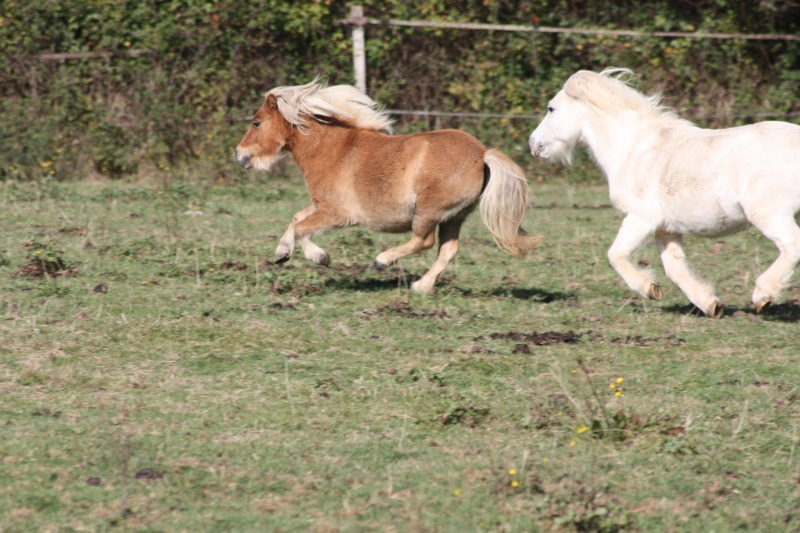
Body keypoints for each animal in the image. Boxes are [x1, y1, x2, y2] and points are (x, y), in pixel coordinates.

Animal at [234, 79, 540, 296]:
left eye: (256, 123)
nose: (239, 155)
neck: (333, 150)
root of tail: (482, 155)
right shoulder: (324, 206)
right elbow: (296, 218)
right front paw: (281, 253)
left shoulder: (337, 214)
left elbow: (301, 228)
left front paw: (321, 258)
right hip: (454, 217)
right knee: (448, 250)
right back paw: (420, 287)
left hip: (428, 212)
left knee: (424, 241)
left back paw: (381, 261)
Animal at [528, 66, 796, 316]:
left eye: (551, 108)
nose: (533, 144)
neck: (632, 148)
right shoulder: (666, 230)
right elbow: (675, 269)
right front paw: (711, 305)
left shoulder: (642, 218)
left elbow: (615, 254)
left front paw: (648, 288)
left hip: (767, 213)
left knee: (792, 245)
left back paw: (762, 296)